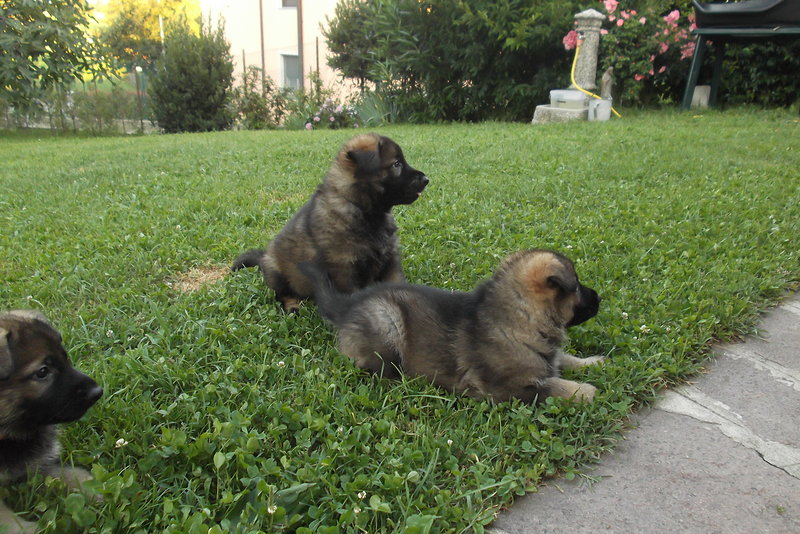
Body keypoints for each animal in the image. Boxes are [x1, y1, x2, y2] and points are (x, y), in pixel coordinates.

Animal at [0, 312, 103, 532]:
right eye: (42, 372)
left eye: (66, 358)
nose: (97, 392)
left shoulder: (34, 461)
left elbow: (67, 474)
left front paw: (99, 488)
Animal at [231, 132, 428, 314]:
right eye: (396, 164)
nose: (426, 179)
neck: (363, 210)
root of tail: (264, 256)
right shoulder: (344, 270)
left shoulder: (389, 261)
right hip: (276, 273)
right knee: (283, 294)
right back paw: (293, 306)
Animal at [300, 251, 600, 406]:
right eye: (577, 286)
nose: (599, 297)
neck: (519, 319)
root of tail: (347, 305)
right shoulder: (510, 389)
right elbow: (555, 387)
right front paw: (588, 391)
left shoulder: (547, 357)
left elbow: (562, 359)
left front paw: (593, 362)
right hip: (386, 321)